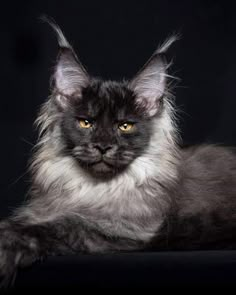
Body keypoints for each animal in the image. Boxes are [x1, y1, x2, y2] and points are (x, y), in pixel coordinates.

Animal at [0, 19, 236, 286]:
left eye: (125, 126)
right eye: (86, 123)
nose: (103, 146)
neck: (95, 190)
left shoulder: (121, 229)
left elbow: (64, 224)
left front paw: (10, 245)